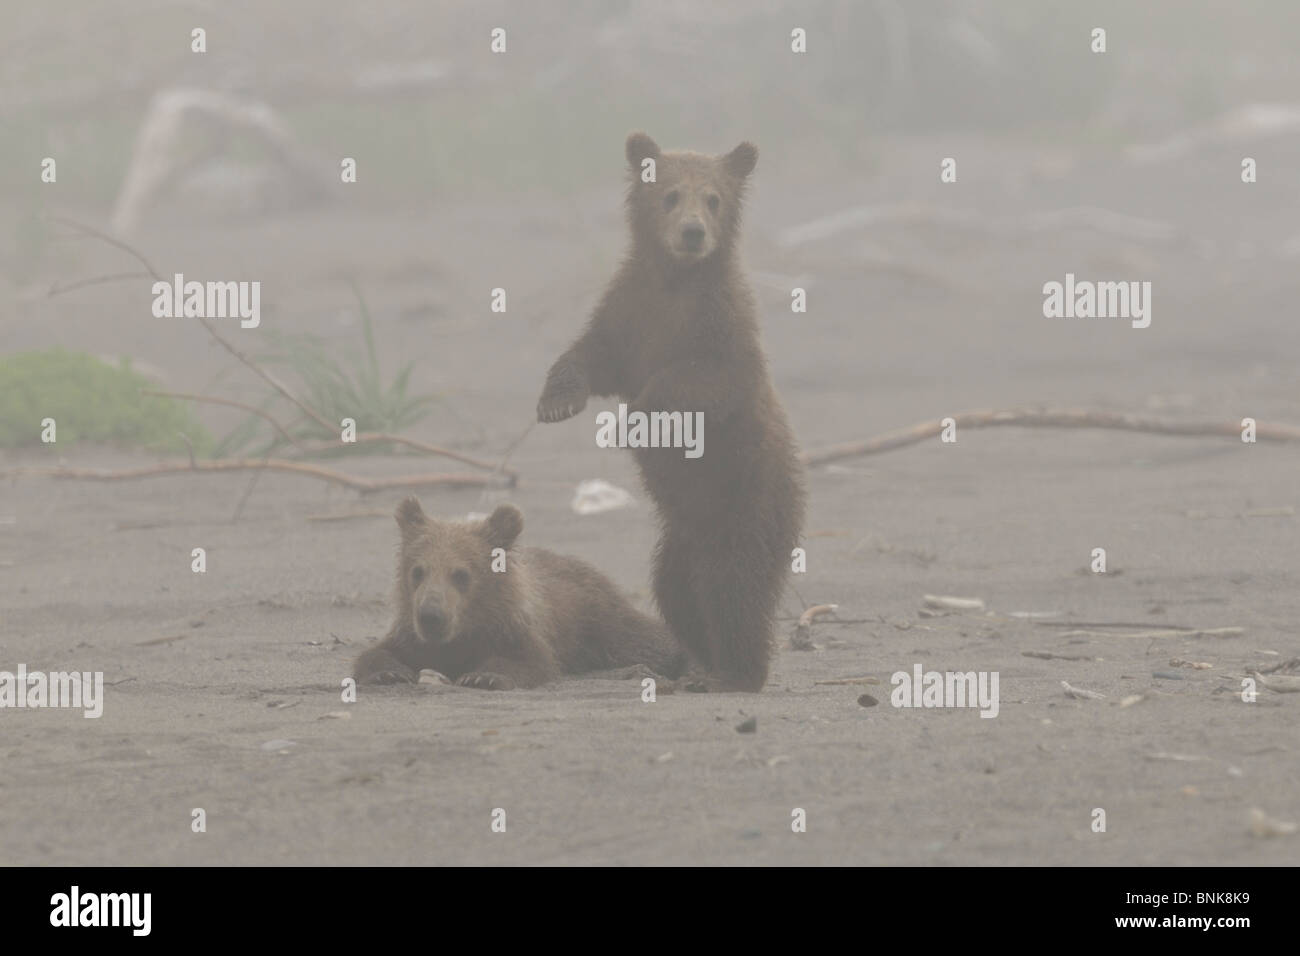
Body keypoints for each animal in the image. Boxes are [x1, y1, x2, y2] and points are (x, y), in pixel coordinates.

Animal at [353, 497, 685, 689]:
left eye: (461, 574)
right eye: (418, 571)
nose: (431, 615)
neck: (464, 633)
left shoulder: (515, 629)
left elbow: (531, 661)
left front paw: (483, 675)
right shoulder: (414, 637)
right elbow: (376, 653)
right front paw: (390, 672)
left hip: (597, 617)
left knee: (641, 640)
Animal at [536, 131, 806, 692]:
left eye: (714, 198)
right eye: (670, 194)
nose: (692, 232)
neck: (676, 281)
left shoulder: (719, 325)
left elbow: (706, 380)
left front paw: (636, 419)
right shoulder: (629, 312)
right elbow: (591, 354)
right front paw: (556, 402)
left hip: (749, 502)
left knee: (735, 589)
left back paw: (735, 672)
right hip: (681, 538)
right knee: (677, 591)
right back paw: (697, 664)